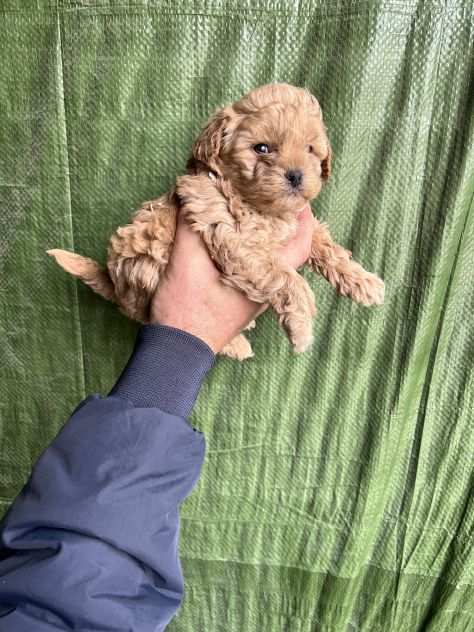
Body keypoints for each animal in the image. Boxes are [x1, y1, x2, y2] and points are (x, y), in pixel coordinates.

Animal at [48, 83, 384, 358]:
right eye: (262, 148)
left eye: (310, 149)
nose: (296, 175)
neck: (261, 207)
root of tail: (115, 285)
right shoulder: (228, 232)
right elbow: (284, 275)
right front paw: (301, 326)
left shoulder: (300, 225)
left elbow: (326, 246)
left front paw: (363, 281)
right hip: (146, 269)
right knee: (148, 317)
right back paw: (237, 345)